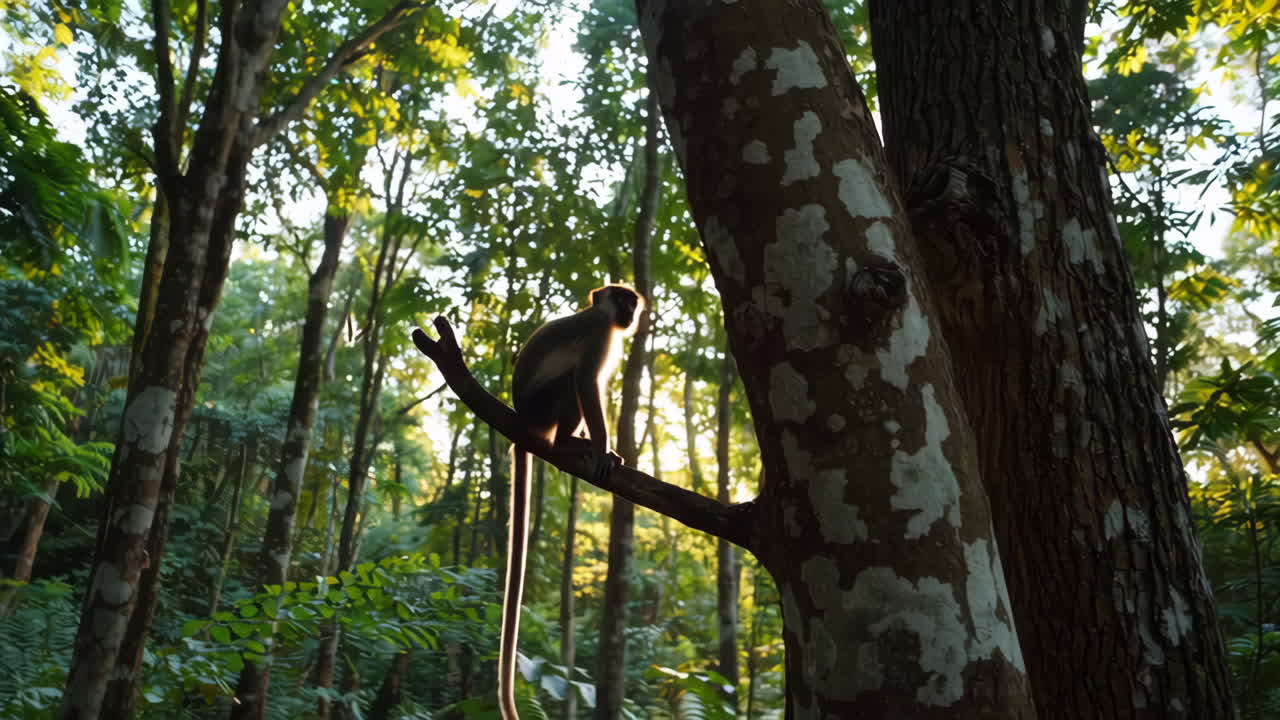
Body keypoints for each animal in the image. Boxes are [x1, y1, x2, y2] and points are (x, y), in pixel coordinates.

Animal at [498, 283, 644, 720]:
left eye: (632, 300)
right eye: (621, 299)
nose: (630, 311)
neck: (601, 317)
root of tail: (522, 421)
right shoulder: (599, 336)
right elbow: (587, 384)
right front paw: (602, 448)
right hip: (544, 407)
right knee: (570, 382)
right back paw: (567, 442)